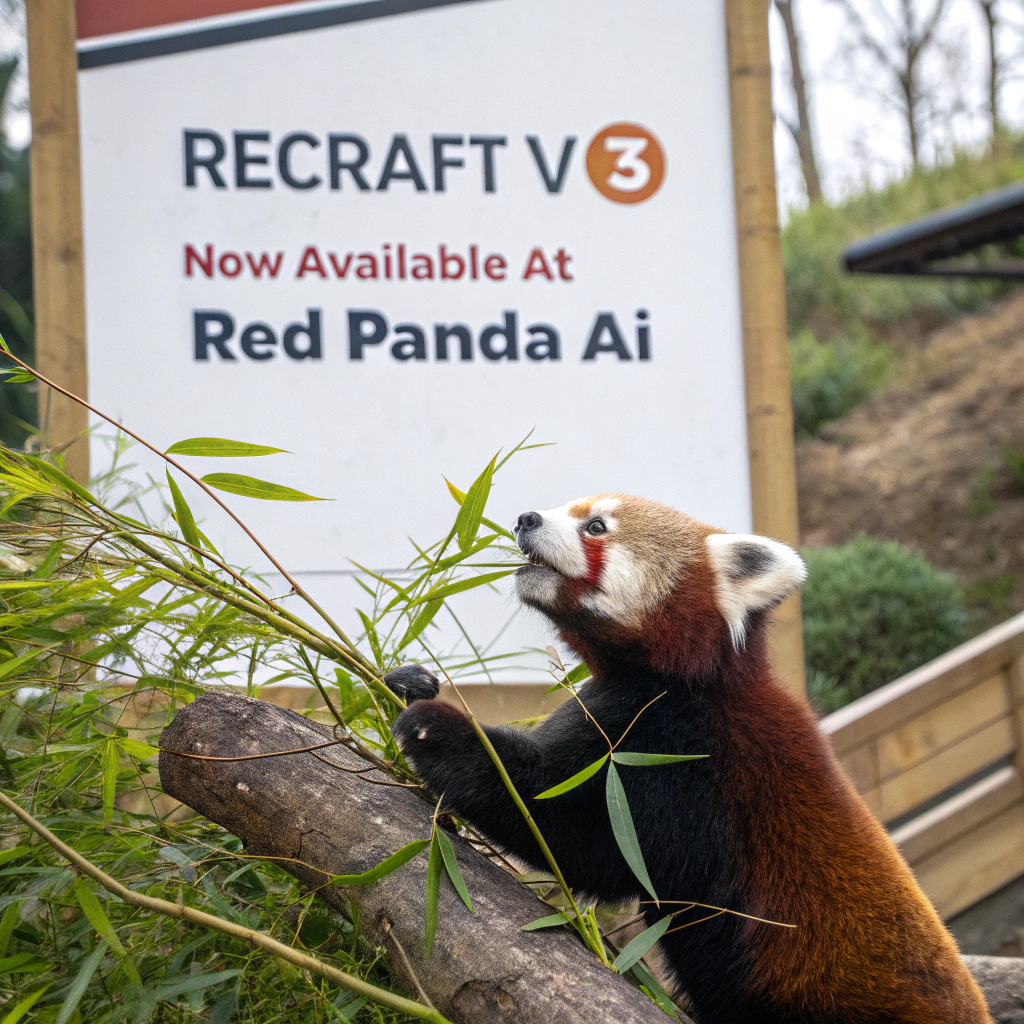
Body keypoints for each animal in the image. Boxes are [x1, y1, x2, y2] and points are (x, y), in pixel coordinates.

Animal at [391, 495, 991, 1024]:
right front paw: (406, 680)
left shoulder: (680, 764)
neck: (682, 680)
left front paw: (438, 730)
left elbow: (571, 832)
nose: (525, 517)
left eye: (596, 527)